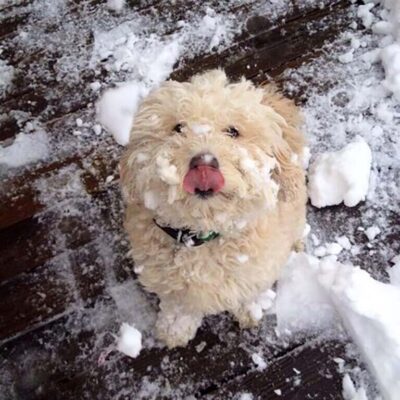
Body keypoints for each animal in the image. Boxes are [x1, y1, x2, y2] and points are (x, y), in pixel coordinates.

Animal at [119, 70, 306, 348]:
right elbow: (179, 308)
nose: (204, 164)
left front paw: (249, 311)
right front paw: (174, 329)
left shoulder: (256, 270)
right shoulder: (171, 287)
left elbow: (247, 291)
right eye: (178, 128)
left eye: (233, 131)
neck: (202, 235)